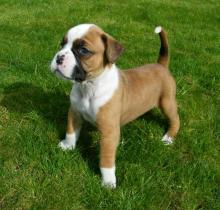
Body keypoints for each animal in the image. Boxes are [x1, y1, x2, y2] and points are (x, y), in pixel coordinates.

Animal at [50, 23, 180, 188]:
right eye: (62, 45)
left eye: (83, 50)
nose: (59, 57)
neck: (89, 86)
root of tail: (160, 65)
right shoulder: (74, 113)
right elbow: (71, 132)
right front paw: (67, 146)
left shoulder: (109, 133)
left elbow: (106, 158)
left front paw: (108, 181)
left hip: (167, 102)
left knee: (175, 120)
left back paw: (168, 138)